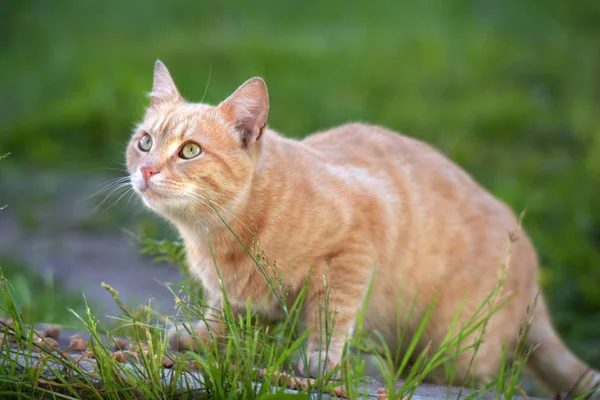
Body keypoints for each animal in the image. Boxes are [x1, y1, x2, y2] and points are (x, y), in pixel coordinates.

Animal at [124, 61, 596, 396]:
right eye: (145, 142)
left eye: (189, 151)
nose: (146, 170)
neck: (218, 236)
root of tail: (533, 269)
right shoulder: (232, 296)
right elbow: (223, 314)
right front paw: (200, 337)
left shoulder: (352, 250)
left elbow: (332, 314)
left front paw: (321, 360)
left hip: (455, 348)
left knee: (480, 376)